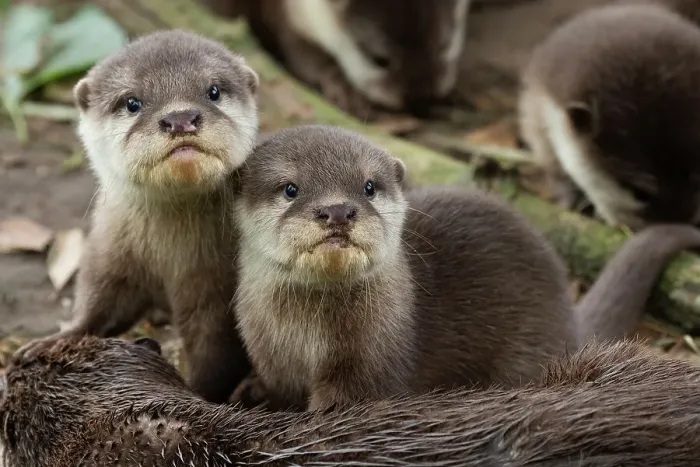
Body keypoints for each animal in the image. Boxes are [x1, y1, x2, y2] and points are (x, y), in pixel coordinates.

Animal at [15, 30, 260, 404]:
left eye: (214, 91)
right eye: (132, 103)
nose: (180, 118)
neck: (168, 256)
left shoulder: (217, 290)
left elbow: (216, 354)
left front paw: (191, 394)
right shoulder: (109, 251)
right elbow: (98, 303)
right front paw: (52, 341)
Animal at [232, 124, 700, 411]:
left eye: (368, 187)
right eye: (290, 188)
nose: (338, 211)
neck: (307, 339)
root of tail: (569, 319)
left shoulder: (371, 364)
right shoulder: (268, 352)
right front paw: (250, 392)